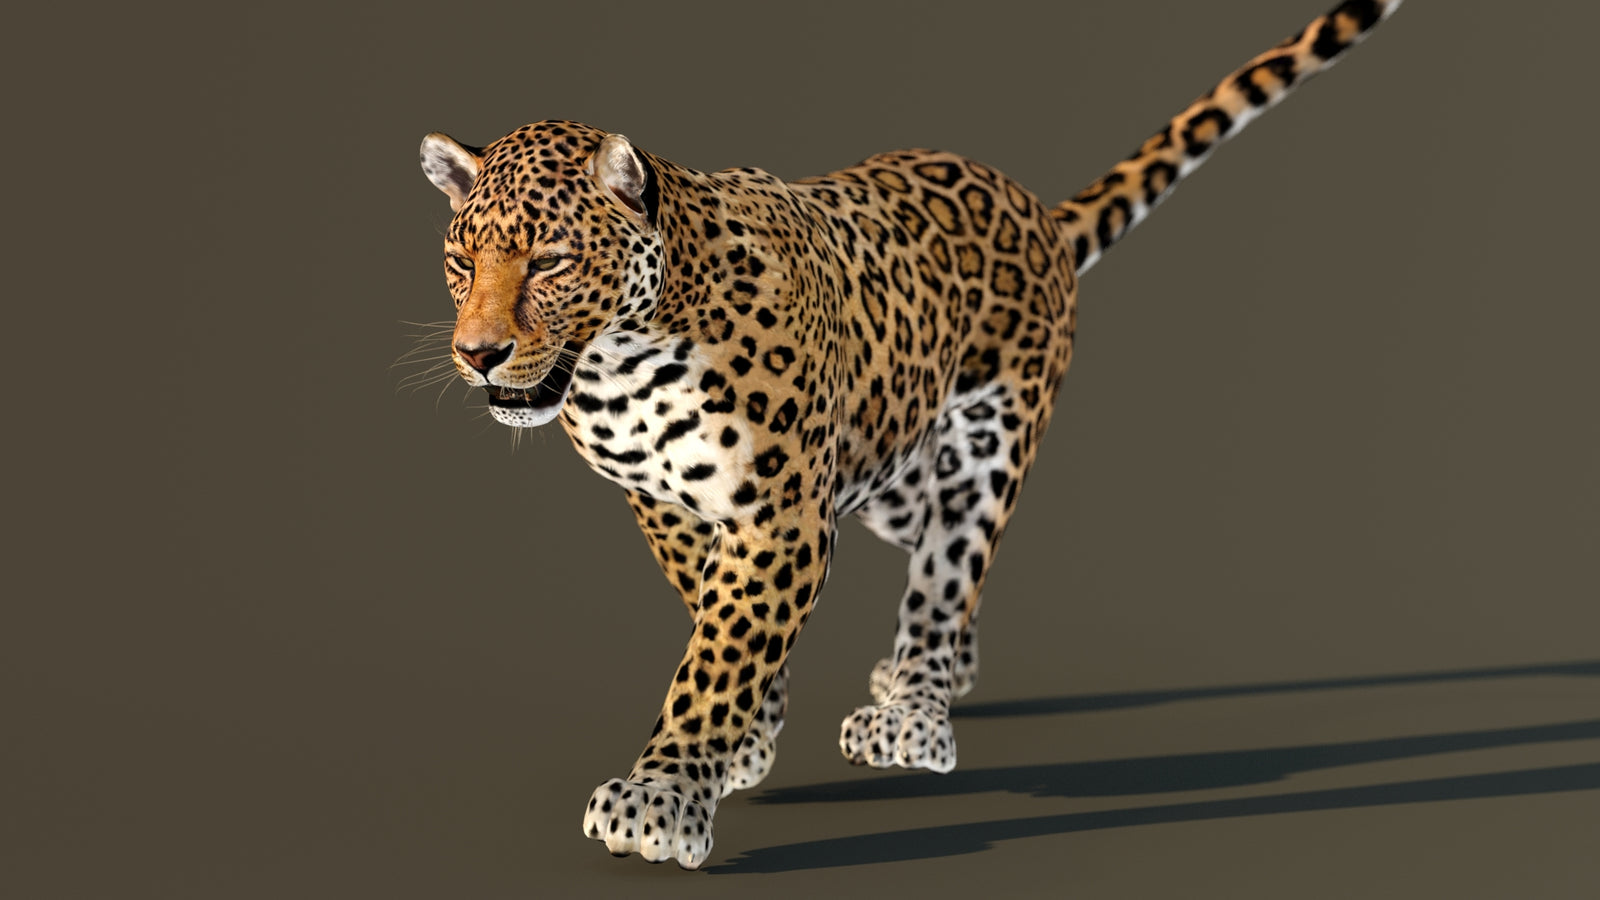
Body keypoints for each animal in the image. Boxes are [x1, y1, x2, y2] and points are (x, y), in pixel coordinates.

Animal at [415, 0, 1403, 869]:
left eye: (550, 261)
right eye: (461, 260)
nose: (478, 353)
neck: (622, 366)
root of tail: (1034, 210)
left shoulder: (782, 515)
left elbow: (722, 648)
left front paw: (663, 795)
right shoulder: (666, 501)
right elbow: (712, 609)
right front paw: (747, 738)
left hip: (984, 441)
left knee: (947, 570)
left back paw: (915, 709)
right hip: (885, 456)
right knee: (927, 541)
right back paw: (936, 673)